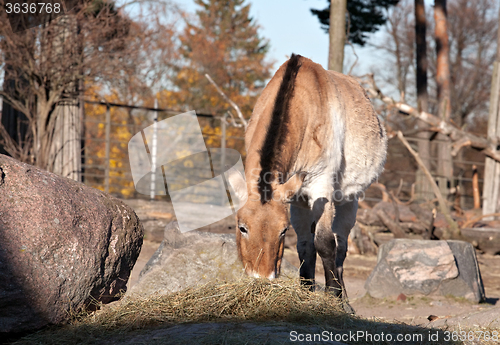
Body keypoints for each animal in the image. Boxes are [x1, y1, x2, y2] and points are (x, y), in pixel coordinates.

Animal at [227, 54, 386, 312]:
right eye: (242, 227)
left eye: (282, 231)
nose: (263, 279)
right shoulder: (297, 199)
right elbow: (304, 246)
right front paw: (305, 292)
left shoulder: (322, 189)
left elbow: (325, 243)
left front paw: (332, 297)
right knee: (308, 244)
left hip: (348, 201)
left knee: (341, 247)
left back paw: (345, 303)